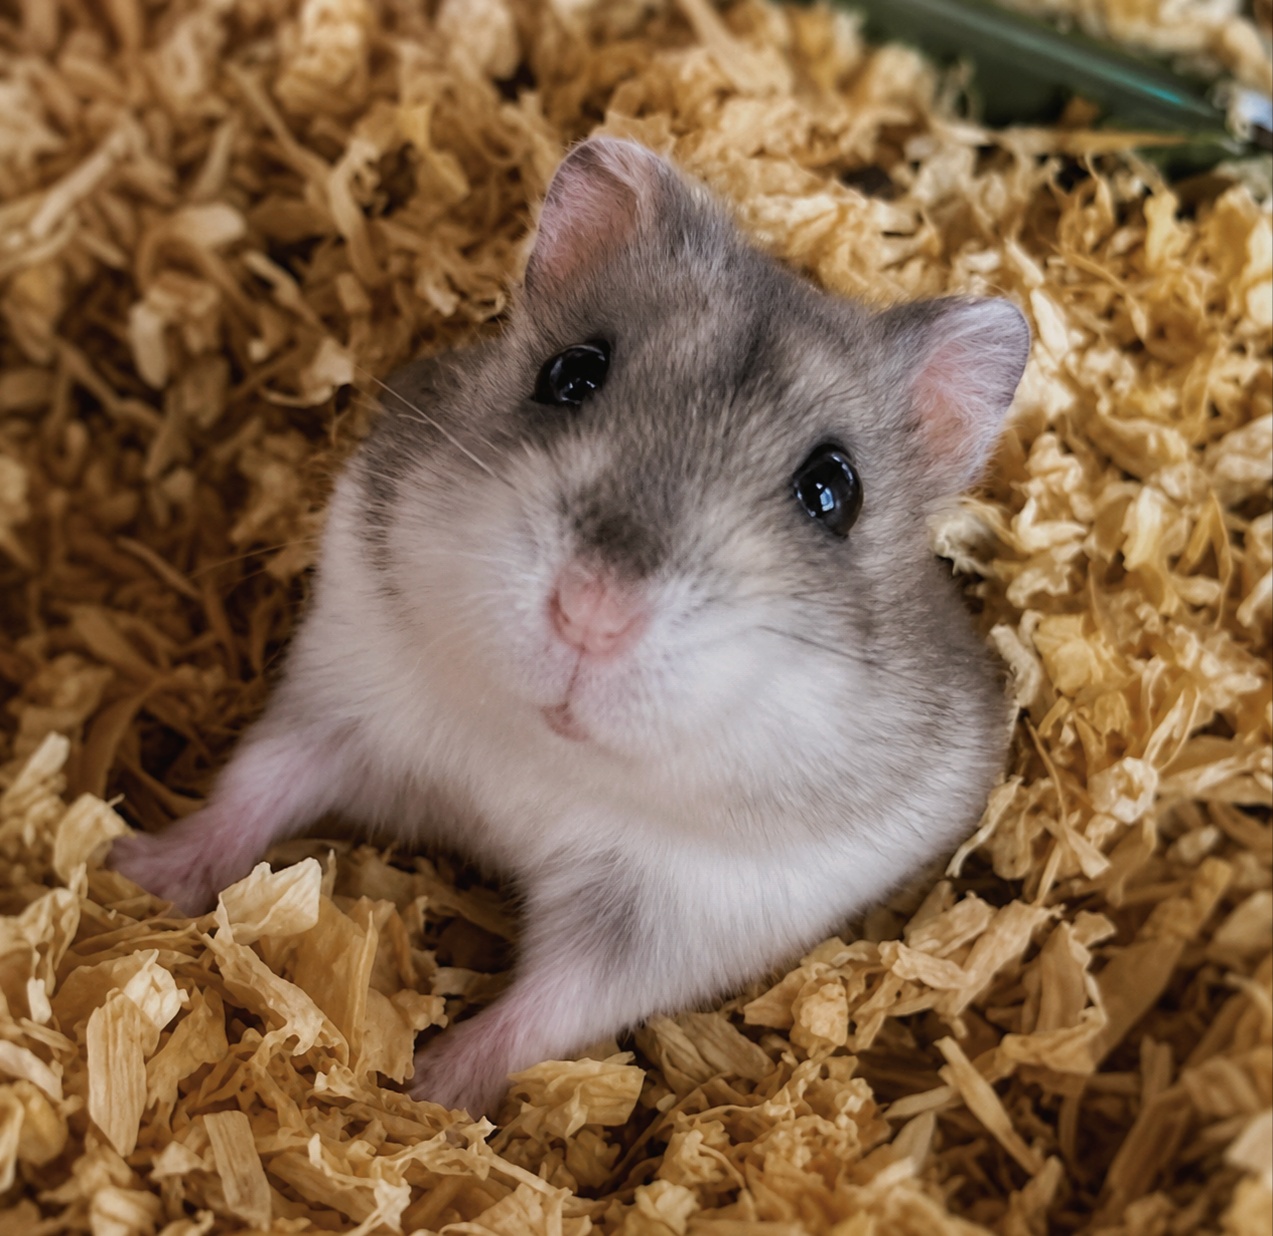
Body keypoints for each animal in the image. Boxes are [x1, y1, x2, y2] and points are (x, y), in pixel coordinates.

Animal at [109, 137, 1030, 1117]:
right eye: (570, 373)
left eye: (832, 491)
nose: (593, 610)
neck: (538, 754)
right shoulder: (341, 694)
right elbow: (253, 786)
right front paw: (133, 867)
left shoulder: (669, 914)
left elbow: (550, 1007)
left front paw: (426, 1091)